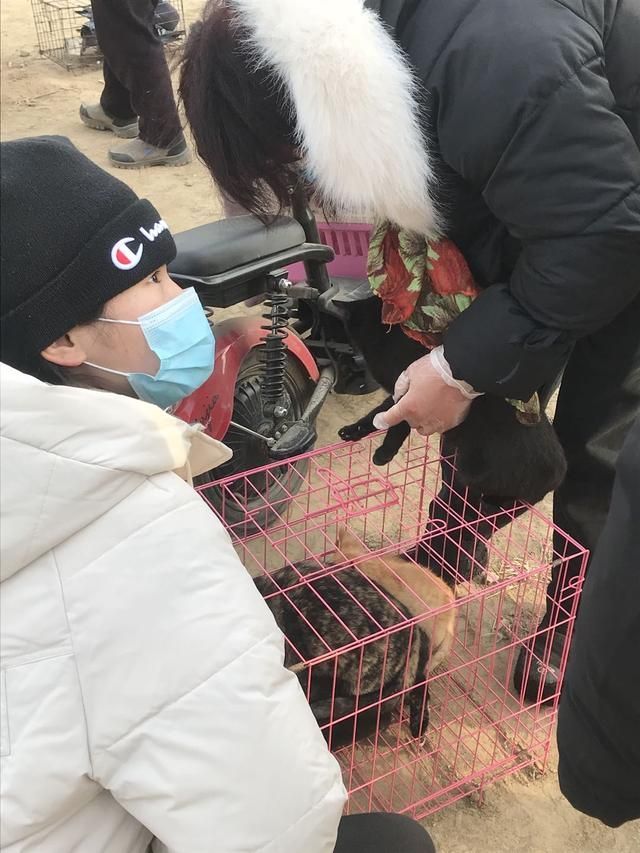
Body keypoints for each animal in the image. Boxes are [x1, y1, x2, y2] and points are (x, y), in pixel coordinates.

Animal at [340, 296, 564, 506]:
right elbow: (378, 414)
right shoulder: (398, 391)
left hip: (472, 470)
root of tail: (559, 472)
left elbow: (397, 423)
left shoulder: (410, 396)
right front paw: (354, 430)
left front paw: (384, 453)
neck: (387, 340)